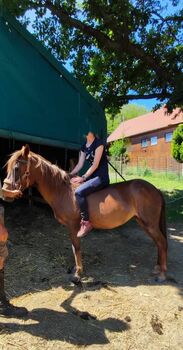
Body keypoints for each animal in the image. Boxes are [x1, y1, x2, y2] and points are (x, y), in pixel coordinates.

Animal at [3, 146, 169, 284]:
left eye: (16, 168)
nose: (5, 193)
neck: (64, 192)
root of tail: (154, 189)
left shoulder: (73, 225)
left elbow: (76, 247)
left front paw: (78, 273)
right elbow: (73, 247)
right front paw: (76, 270)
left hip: (150, 224)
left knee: (162, 242)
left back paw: (162, 274)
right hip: (144, 222)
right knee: (158, 243)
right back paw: (157, 268)